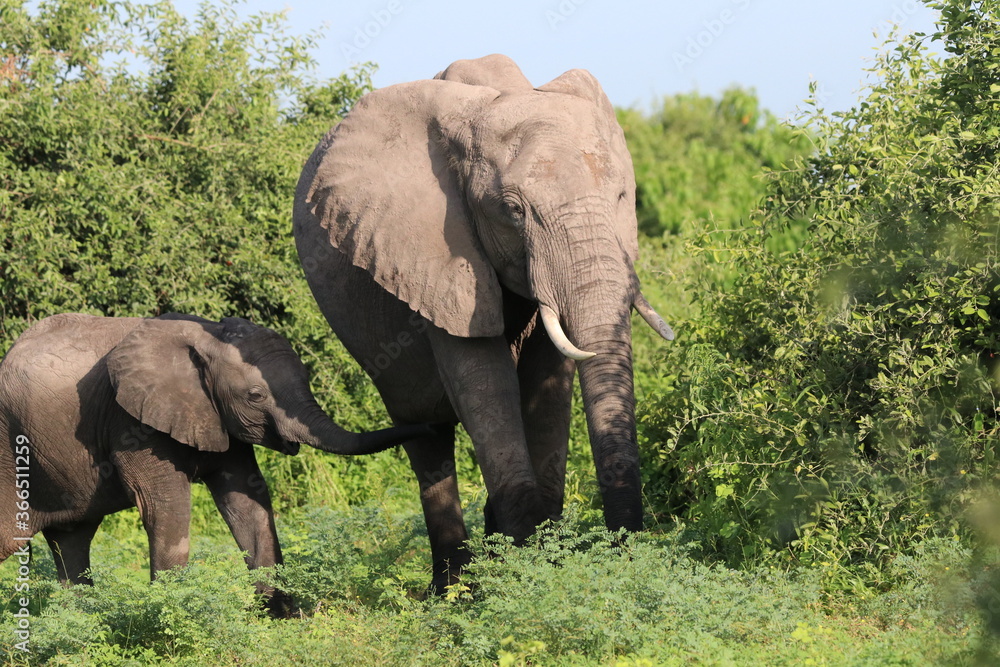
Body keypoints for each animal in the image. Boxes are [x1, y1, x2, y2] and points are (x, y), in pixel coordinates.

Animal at [0, 314, 426, 616]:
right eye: (255, 395)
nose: (429, 424)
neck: (206, 339)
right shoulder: (130, 421)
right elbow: (166, 506)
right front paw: (171, 616)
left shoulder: (217, 417)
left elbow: (247, 501)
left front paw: (277, 616)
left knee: (71, 539)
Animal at [292, 56, 676, 588]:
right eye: (512, 210)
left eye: (622, 197)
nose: (627, 561)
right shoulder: (433, 258)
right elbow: (484, 383)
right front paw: (528, 576)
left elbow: (546, 382)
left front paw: (538, 564)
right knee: (426, 437)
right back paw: (452, 588)